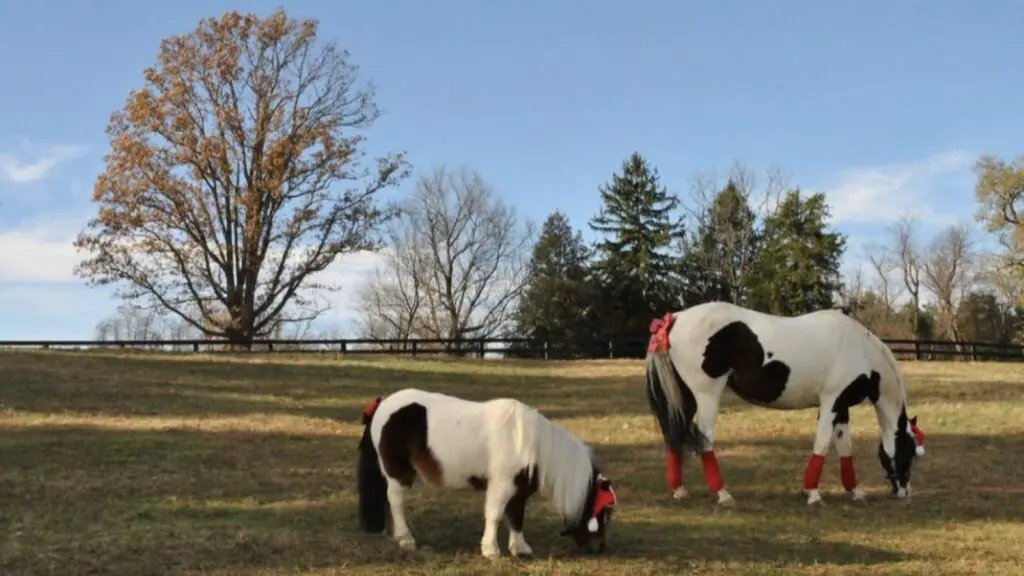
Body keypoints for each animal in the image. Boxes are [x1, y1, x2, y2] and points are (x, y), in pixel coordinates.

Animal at [357, 388, 618, 558]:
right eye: (602, 511)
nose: (600, 549)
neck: (531, 443)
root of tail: (382, 405)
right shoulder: (502, 485)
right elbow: (495, 515)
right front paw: (491, 550)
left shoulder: (519, 490)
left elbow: (516, 518)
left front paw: (520, 549)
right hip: (398, 473)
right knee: (396, 501)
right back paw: (405, 539)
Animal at [643, 301, 926, 507]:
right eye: (909, 451)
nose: (904, 492)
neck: (861, 350)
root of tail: (675, 319)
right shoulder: (831, 402)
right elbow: (822, 444)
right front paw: (813, 494)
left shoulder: (842, 407)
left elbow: (845, 447)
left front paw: (855, 490)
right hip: (707, 395)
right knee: (704, 439)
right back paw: (723, 494)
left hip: (685, 397)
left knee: (675, 436)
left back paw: (680, 490)